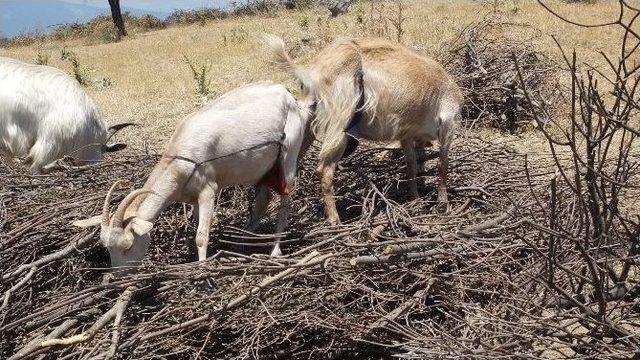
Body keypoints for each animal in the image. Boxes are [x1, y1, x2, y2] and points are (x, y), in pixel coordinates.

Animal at [72, 81, 308, 268]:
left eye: (127, 246)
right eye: (107, 249)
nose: (119, 277)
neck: (182, 157)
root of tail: (286, 93)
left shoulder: (208, 191)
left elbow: (201, 235)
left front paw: (202, 266)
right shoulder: (192, 198)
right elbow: (194, 227)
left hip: (289, 153)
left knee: (285, 202)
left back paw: (275, 250)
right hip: (263, 168)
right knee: (263, 201)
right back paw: (242, 243)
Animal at [262, 35, 462, 224]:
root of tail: (311, 70)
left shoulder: (406, 133)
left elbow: (411, 165)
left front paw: (415, 198)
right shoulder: (448, 121)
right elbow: (442, 165)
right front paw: (443, 205)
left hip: (309, 118)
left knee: (291, 163)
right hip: (341, 118)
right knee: (324, 168)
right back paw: (334, 218)